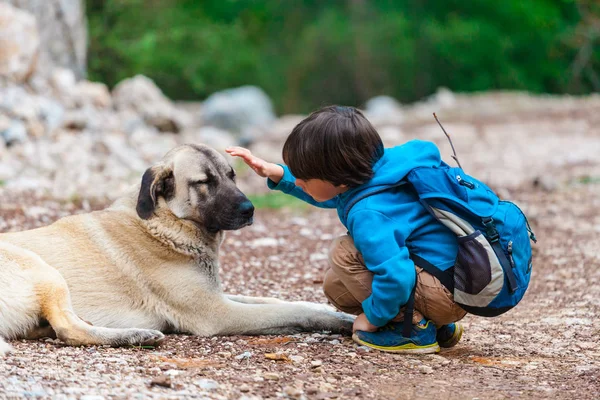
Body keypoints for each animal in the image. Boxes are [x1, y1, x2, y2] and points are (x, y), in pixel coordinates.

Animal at [0, 144, 354, 356]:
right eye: (204, 181)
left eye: (232, 175)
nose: (250, 209)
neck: (164, 225)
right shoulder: (217, 312)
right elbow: (293, 312)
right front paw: (339, 321)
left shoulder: (217, 295)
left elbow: (277, 300)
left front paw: (334, 311)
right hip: (44, 270)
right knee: (68, 330)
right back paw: (135, 336)